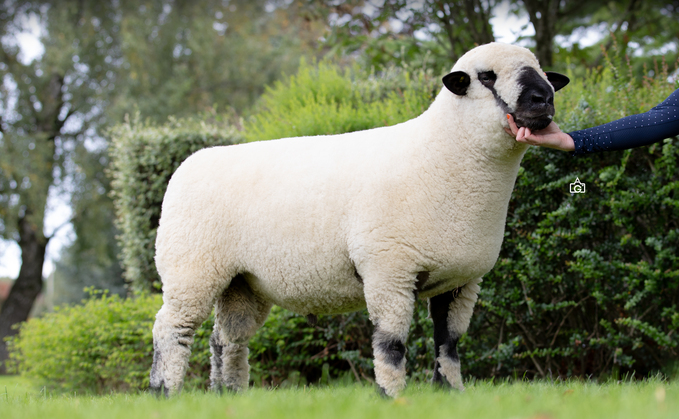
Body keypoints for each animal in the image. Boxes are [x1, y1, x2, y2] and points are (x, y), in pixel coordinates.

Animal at [149, 41, 568, 398]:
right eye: (487, 77)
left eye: (541, 73)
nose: (543, 99)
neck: (440, 154)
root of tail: (190, 162)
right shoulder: (389, 267)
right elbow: (391, 341)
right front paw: (390, 395)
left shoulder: (461, 280)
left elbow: (448, 341)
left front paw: (449, 393)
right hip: (191, 267)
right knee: (171, 328)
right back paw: (164, 392)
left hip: (242, 282)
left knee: (226, 339)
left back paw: (227, 393)